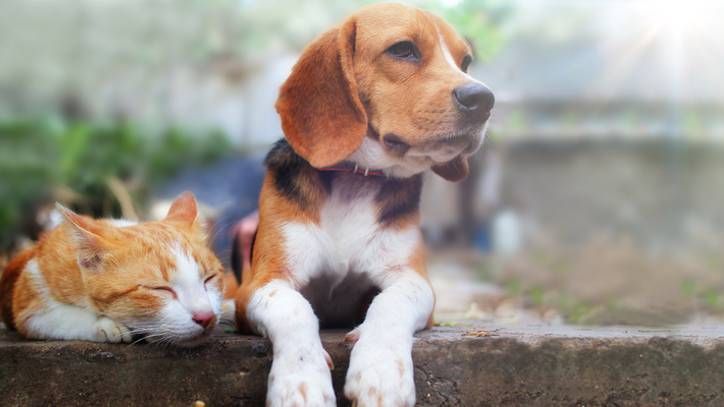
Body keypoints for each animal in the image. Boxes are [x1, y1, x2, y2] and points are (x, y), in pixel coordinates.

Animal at [0, 193, 232, 346]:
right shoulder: (28, 301)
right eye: (160, 289)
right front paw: (108, 325)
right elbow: (62, 316)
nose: (206, 317)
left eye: (209, 278)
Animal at [235, 3, 494, 407]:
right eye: (403, 50)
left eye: (465, 62)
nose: (483, 99)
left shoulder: (413, 279)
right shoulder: (260, 283)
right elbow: (294, 308)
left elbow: (390, 303)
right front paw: (300, 382)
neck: (356, 178)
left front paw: (381, 372)